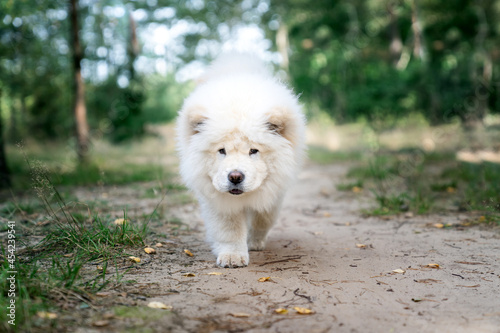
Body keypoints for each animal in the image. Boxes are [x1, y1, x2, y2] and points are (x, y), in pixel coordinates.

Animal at [178, 54, 306, 268]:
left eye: (253, 151)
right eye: (222, 151)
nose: (235, 176)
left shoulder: (274, 190)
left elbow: (263, 218)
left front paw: (254, 242)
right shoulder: (218, 200)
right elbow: (229, 229)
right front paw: (233, 256)